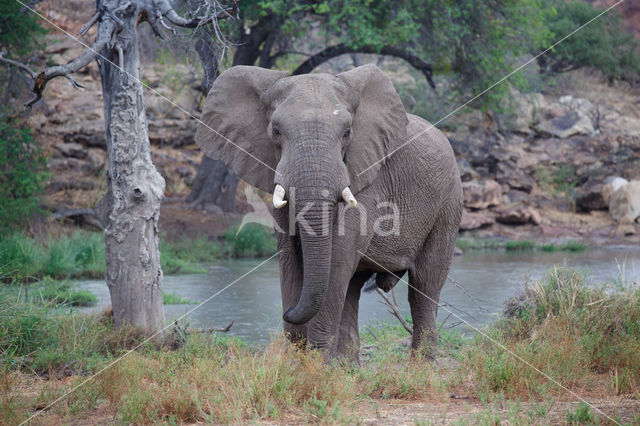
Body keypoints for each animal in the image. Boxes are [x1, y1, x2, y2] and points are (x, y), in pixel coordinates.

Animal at [194, 63, 460, 362]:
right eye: (275, 130)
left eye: (347, 133)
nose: (286, 312)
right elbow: (290, 257)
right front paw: (301, 358)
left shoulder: (367, 176)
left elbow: (338, 258)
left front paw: (315, 363)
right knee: (354, 287)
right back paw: (348, 367)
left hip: (448, 205)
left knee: (424, 287)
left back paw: (421, 366)